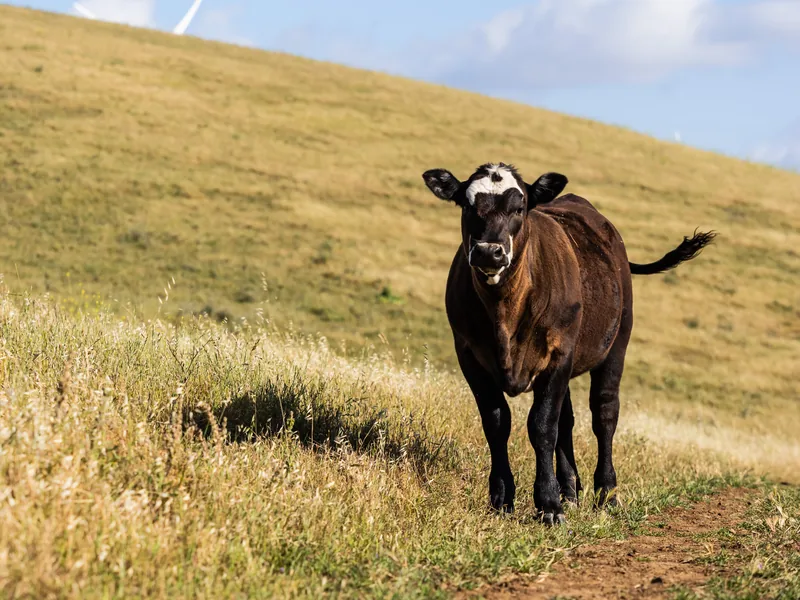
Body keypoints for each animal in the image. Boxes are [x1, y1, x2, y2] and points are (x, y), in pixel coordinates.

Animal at [421, 162, 715, 525]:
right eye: (466, 204)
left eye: (520, 208)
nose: (490, 251)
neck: (505, 308)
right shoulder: (469, 355)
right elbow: (497, 422)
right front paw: (503, 498)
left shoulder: (558, 354)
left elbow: (542, 426)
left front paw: (548, 504)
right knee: (568, 420)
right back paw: (571, 489)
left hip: (617, 343)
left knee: (604, 414)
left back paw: (607, 493)